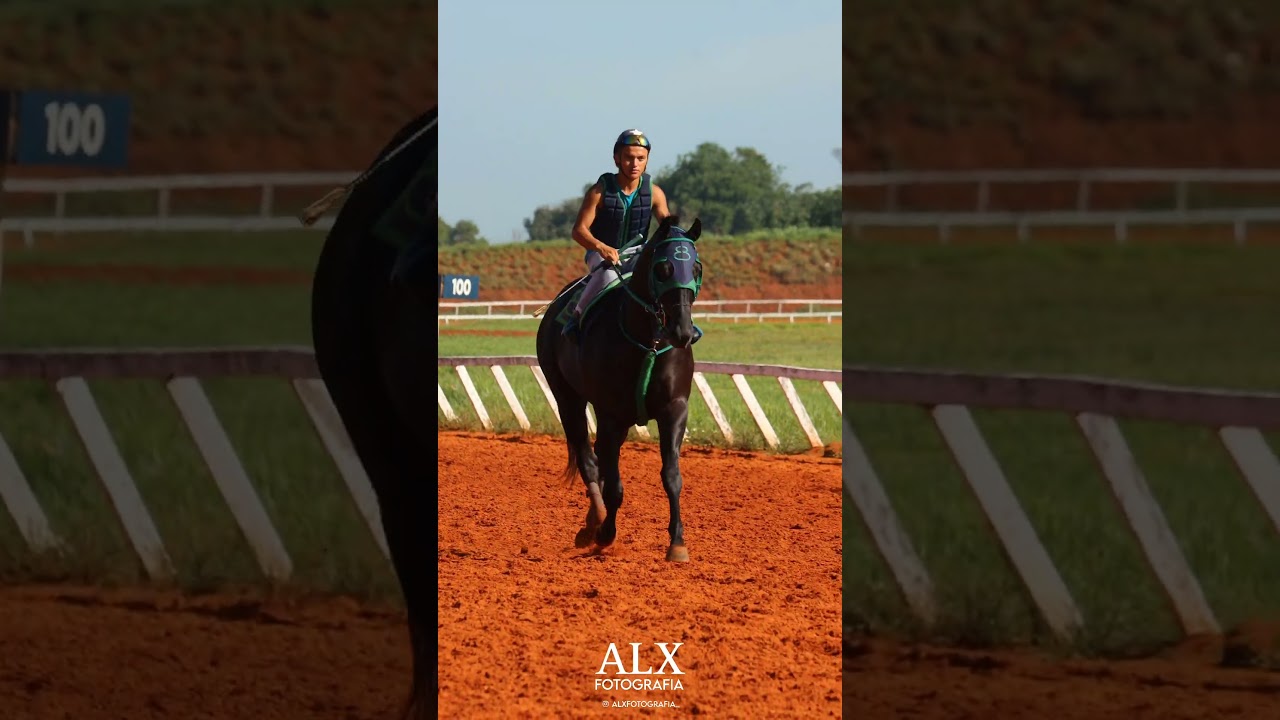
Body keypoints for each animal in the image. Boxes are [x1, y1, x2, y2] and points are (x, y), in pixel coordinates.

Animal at [535, 215, 704, 562]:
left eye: (696, 269)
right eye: (663, 268)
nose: (682, 331)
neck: (648, 342)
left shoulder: (674, 409)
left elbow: (672, 476)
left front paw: (677, 542)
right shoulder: (610, 414)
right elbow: (614, 485)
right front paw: (606, 533)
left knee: (598, 457)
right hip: (567, 397)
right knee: (587, 457)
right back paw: (596, 520)